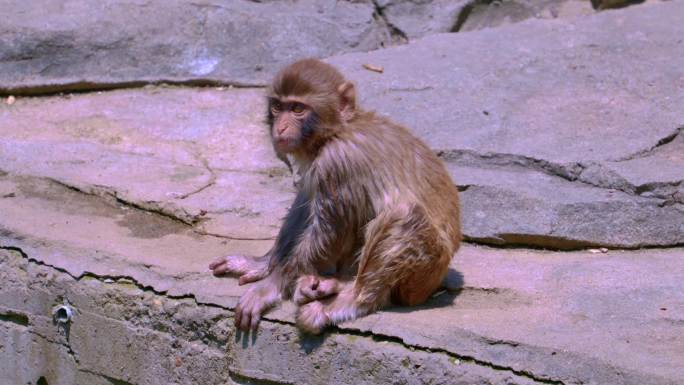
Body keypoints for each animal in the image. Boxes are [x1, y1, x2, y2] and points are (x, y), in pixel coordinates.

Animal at [208, 59, 460, 332]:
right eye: (277, 107)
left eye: (297, 108)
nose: (280, 127)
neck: (335, 132)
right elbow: (305, 202)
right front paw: (263, 264)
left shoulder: (337, 161)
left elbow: (330, 232)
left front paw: (270, 287)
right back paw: (328, 284)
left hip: (424, 273)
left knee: (404, 214)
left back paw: (350, 301)